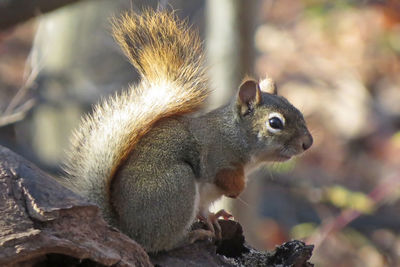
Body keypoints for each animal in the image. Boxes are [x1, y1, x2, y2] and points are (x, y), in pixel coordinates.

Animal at [61, 9, 312, 253]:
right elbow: (222, 176)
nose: (307, 143)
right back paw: (192, 236)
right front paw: (237, 189)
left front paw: (214, 215)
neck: (235, 134)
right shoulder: (216, 155)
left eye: (297, 110)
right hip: (177, 186)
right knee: (160, 244)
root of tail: (126, 228)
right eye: (275, 123)